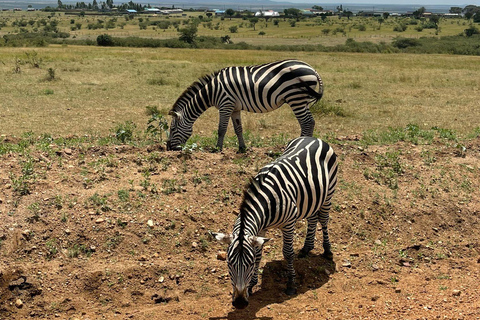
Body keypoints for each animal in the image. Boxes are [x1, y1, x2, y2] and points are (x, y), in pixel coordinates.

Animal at [165, 59, 322, 152]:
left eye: (172, 129)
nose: (168, 148)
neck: (212, 91)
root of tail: (313, 69)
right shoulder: (234, 108)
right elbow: (238, 129)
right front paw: (242, 148)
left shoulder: (225, 104)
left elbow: (221, 129)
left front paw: (217, 149)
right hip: (301, 100)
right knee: (310, 122)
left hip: (296, 98)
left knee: (307, 122)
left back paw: (299, 147)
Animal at [212, 136, 340, 308]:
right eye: (229, 263)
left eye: (249, 265)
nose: (239, 303)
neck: (267, 201)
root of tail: (313, 138)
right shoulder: (260, 229)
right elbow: (259, 254)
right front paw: (252, 285)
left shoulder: (289, 223)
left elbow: (288, 253)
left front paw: (291, 283)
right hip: (312, 198)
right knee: (313, 219)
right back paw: (306, 248)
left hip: (328, 193)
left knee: (324, 220)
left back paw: (327, 251)